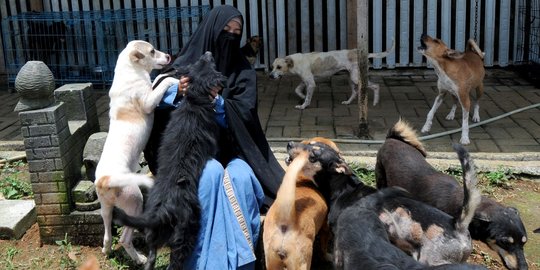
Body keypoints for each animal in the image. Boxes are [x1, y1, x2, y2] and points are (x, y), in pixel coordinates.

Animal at [93, 40, 177, 264]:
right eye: (152, 51)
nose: (169, 56)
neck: (130, 70)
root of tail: (105, 179)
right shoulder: (148, 102)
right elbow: (163, 83)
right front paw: (173, 78)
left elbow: (157, 80)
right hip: (135, 203)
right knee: (124, 238)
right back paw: (139, 258)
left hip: (106, 209)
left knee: (107, 235)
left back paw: (108, 250)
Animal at [112, 51, 226, 270]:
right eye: (210, 62)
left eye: (200, 61)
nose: (207, 53)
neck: (195, 100)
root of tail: (159, 213)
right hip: (185, 233)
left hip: (153, 239)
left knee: (151, 259)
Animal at [264, 138, 336, 268]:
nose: (289, 144)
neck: (304, 180)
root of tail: (285, 221)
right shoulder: (325, 229)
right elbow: (323, 248)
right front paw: (328, 257)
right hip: (303, 262)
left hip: (271, 261)